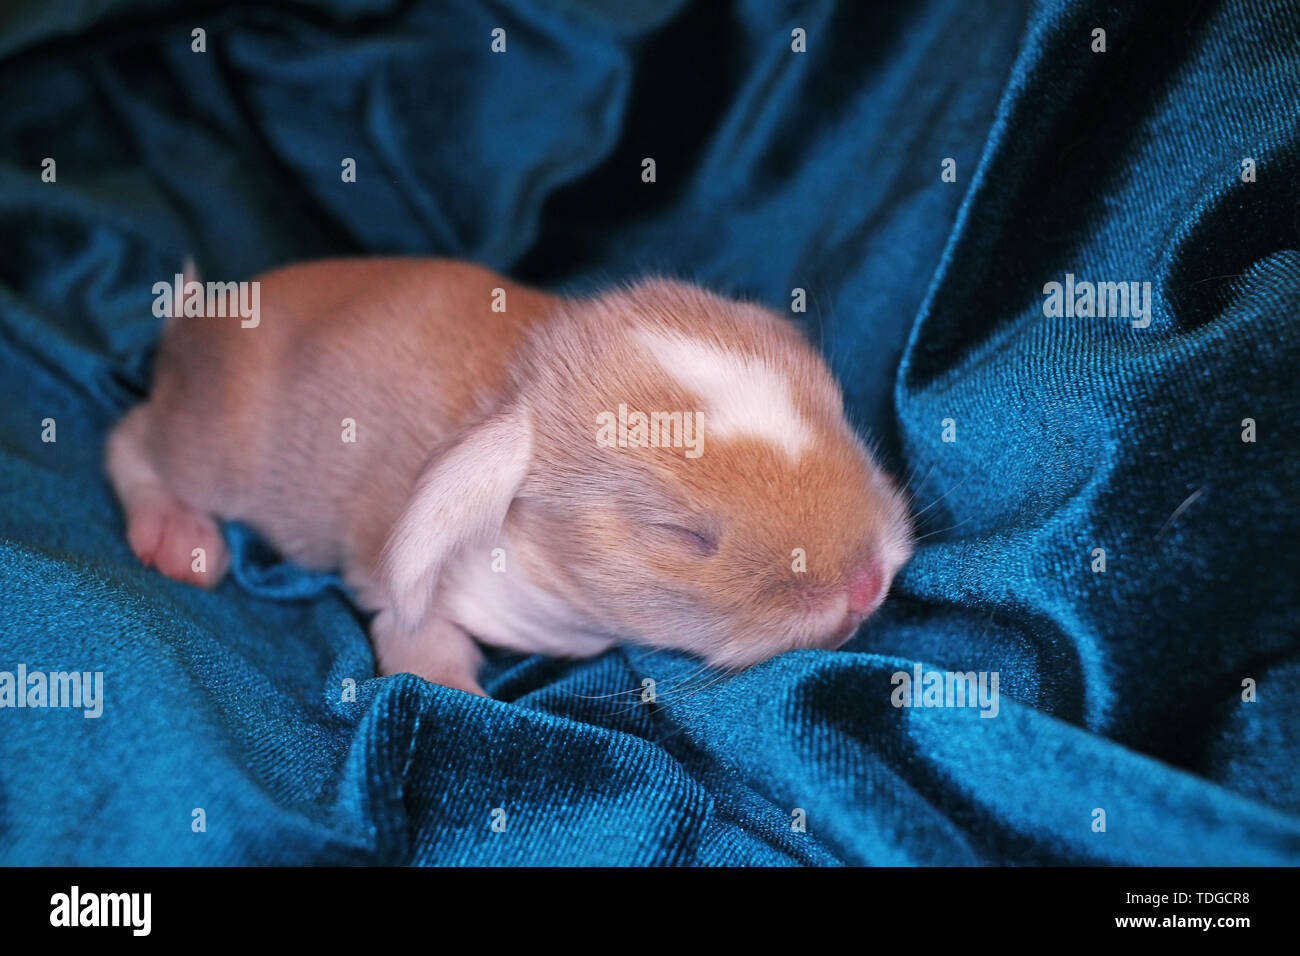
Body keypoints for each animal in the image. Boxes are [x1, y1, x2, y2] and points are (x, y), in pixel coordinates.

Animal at [105, 258, 914, 696]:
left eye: (839, 410)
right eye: (680, 534)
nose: (867, 585)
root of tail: (197, 321)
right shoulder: (392, 580)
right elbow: (411, 633)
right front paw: (455, 691)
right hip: (212, 447)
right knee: (129, 442)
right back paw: (179, 536)